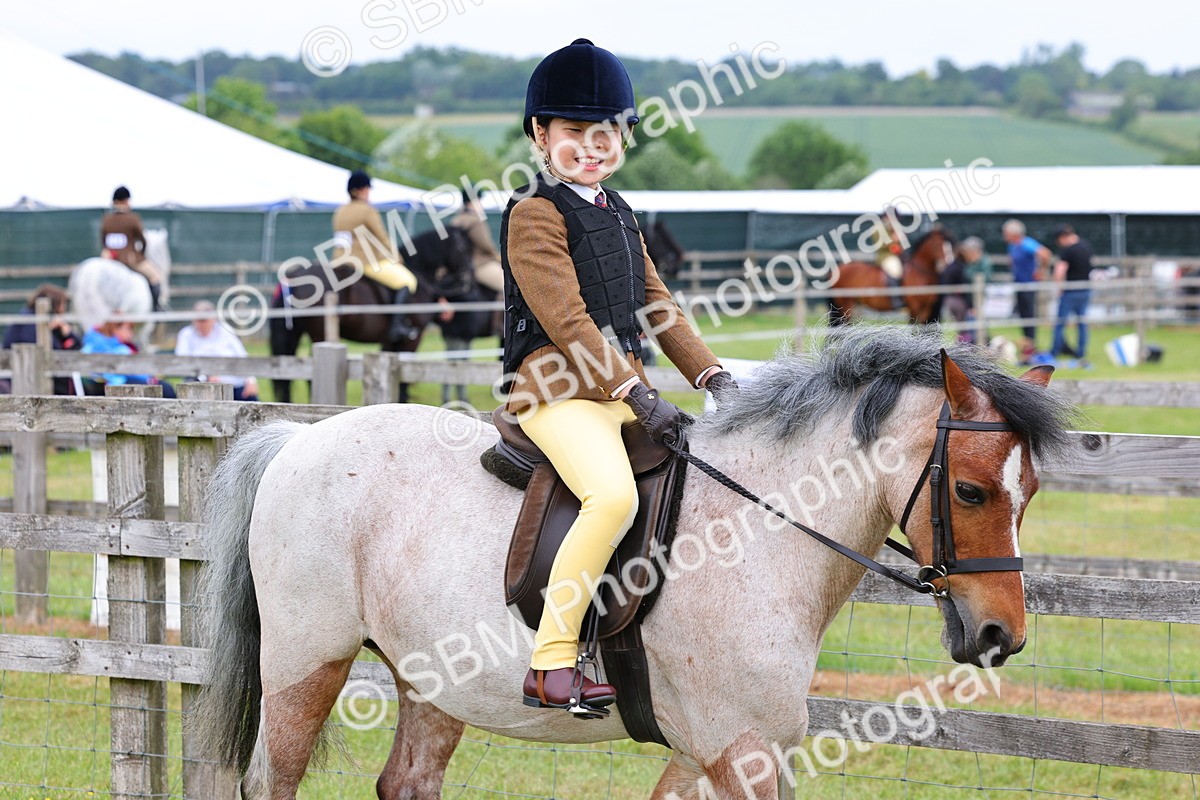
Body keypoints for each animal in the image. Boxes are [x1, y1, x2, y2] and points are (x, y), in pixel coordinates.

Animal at [192, 325, 1074, 799]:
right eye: (968, 490)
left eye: (1029, 490)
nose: (1000, 635)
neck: (759, 527)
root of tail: (295, 440)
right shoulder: (740, 748)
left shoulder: (713, 749)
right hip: (307, 662)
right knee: (269, 780)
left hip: (430, 682)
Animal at [268, 226, 473, 403]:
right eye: (463, 247)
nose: (468, 278)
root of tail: (294, 278)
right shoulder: (412, 339)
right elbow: (404, 380)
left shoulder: (390, 342)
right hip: (319, 333)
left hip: (295, 334)